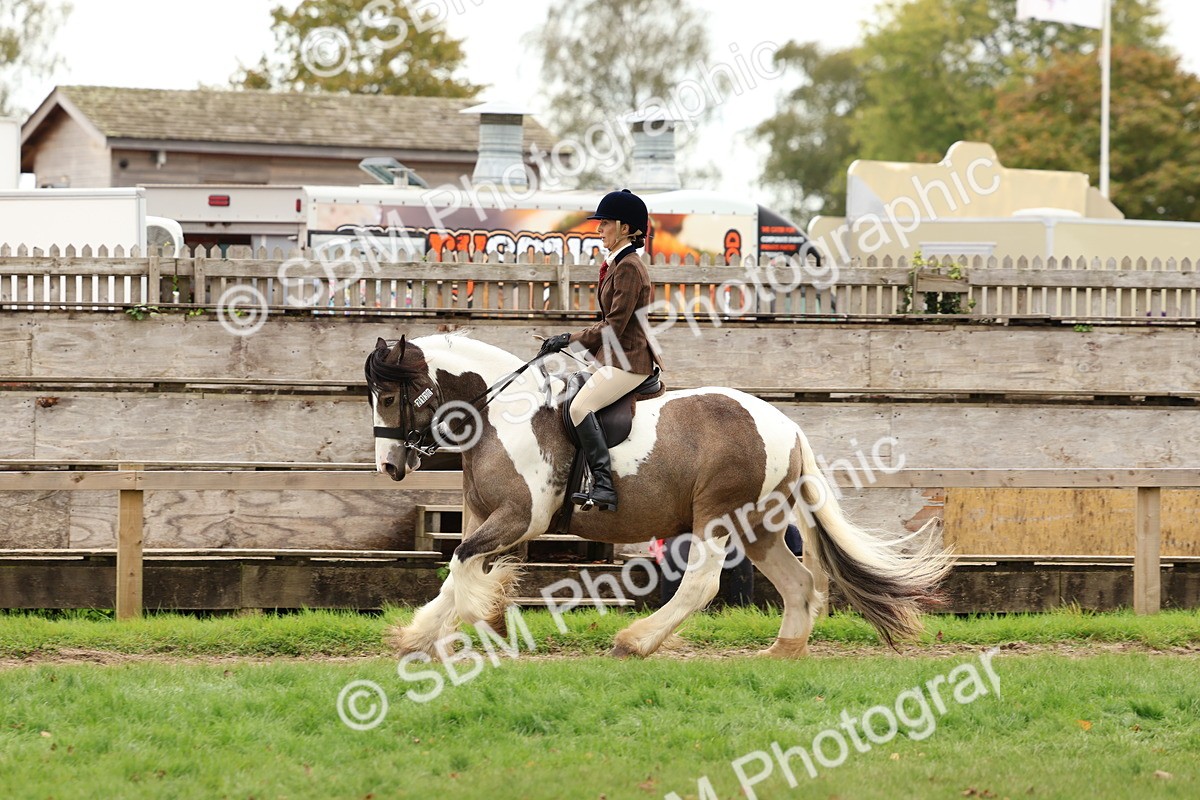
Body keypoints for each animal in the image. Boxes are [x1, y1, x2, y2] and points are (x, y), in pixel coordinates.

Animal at [366, 332, 952, 658]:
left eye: (389, 396)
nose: (390, 466)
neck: (501, 415)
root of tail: (786, 425)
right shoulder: (483, 516)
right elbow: (456, 570)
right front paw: (418, 636)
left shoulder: (519, 518)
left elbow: (462, 567)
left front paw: (472, 628)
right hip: (757, 526)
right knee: (799, 582)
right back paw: (782, 651)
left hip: (718, 516)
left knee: (702, 583)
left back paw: (636, 642)